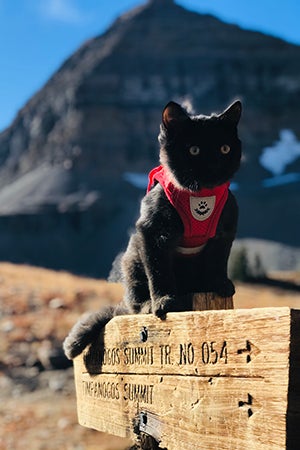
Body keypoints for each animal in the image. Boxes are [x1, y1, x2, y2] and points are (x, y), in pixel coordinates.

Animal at [63, 100, 241, 360]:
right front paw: (164, 302)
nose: (214, 165)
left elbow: (219, 260)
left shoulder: (225, 232)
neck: (198, 196)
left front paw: (220, 285)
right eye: (194, 150)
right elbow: (159, 272)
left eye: (225, 148)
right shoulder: (153, 233)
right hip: (132, 261)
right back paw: (148, 305)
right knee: (136, 303)